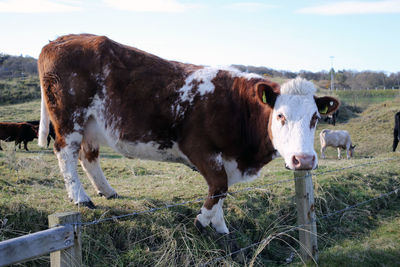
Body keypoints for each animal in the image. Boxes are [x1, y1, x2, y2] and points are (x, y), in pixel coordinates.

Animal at [37, 34, 340, 234]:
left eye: (315, 118)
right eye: (280, 116)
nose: (304, 160)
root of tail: (59, 40)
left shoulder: (228, 158)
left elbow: (222, 192)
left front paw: (219, 226)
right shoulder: (199, 149)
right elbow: (219, 186)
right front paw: (204, 221)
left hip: (91, 124)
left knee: (88, 156)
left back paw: (107, 191)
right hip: (69, 118)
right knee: (65, 153)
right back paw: (80, 197)